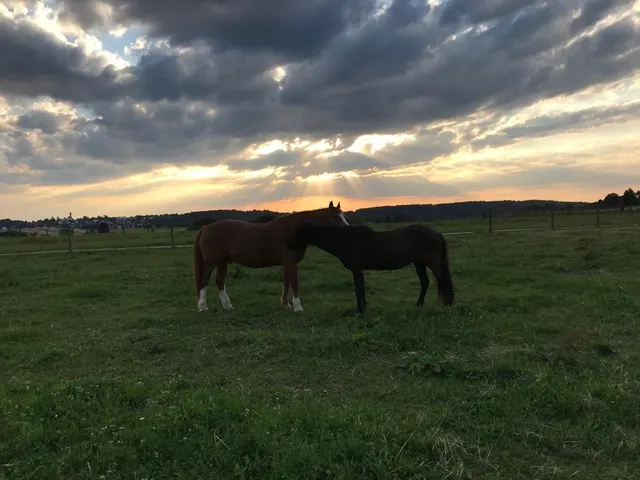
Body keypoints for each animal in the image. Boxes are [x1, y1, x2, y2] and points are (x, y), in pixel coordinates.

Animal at [193, 201, 349, 313]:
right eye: (336, 217)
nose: (348, 229)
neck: (294, 231)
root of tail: (205, 227)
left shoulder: (287, 263)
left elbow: (286, 283)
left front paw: (286, 304)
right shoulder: (291, 262)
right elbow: (294, 283)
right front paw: (298, 307)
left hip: (222, 261)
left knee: (219, 281)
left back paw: (227, 306)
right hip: (211, 262)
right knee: (203, 280)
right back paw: (203, 307)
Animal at [286, 223, 455, 314]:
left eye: (297, 233)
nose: (287, 246)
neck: (345, 240)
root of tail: (437, 233)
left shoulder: (356, 270)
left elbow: (358, 289)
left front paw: (359, 310)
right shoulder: (358, 271)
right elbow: (361, 289)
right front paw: (363, 308)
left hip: (431, 263)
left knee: (442, 280)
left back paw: (446, 304)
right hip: (419, 263)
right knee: (425, 282)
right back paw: (419, 305)